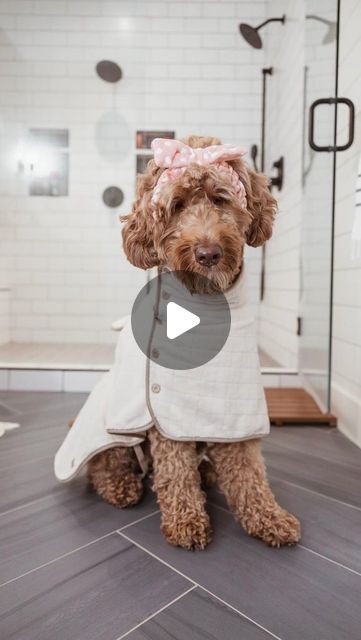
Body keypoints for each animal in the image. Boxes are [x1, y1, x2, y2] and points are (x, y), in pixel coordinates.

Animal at [88, 135, 300, 552]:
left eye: (220, 199)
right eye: (177, 206)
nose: (208, 253)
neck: (206, 302)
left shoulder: (237, 409)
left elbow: (248, 470)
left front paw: (269, 517)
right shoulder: (167, 422)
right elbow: (175, 470)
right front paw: (186, 521)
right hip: (116, 431)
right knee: (105, 463)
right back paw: (121, 486)